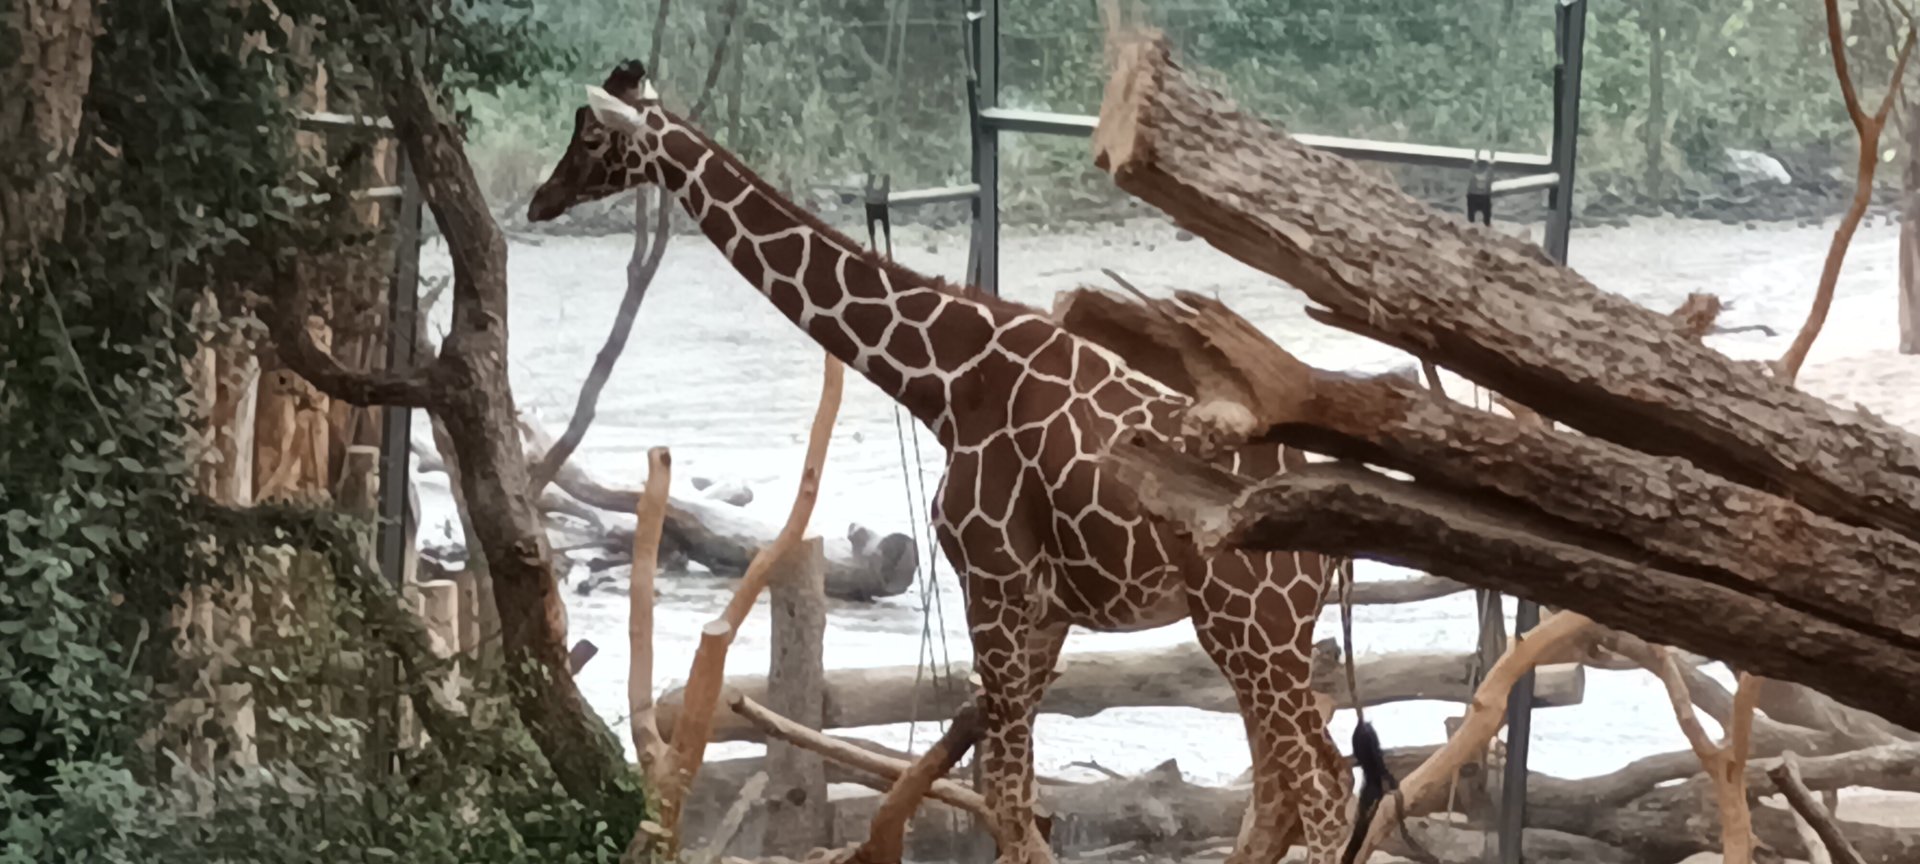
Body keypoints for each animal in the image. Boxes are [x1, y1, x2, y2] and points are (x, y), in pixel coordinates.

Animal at [527, 61, 1378, 864]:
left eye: (592, 135)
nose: (540, 199)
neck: (942, 382)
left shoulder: (992, 583)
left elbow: (1006, 792)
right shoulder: (1042, 607)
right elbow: (1014, 794)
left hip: (1251, 623)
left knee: (1322, 784)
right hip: (1262, 630)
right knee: (1284, 789)